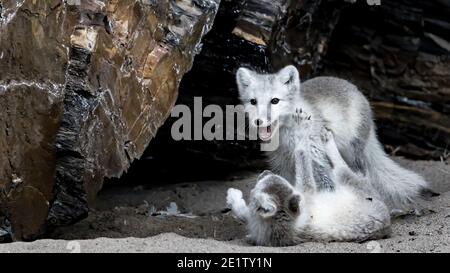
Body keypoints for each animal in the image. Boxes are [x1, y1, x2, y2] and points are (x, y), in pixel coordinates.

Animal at [227, 126, 392, 245]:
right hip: (351, 182)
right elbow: (302, 159)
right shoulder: (306, 192)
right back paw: (328, 142)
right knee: (341, 167)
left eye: (255, 188)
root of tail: (387, 219)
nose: (265, 172)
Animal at [236, 65, 428, 211]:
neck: (286, 139)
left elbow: (326, 184)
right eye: (253, 102)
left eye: (275, 101)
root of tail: (358, 92)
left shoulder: (316, 157)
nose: (259, 121)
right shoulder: (281, 164)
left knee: (361, 175)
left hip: (353, 152)